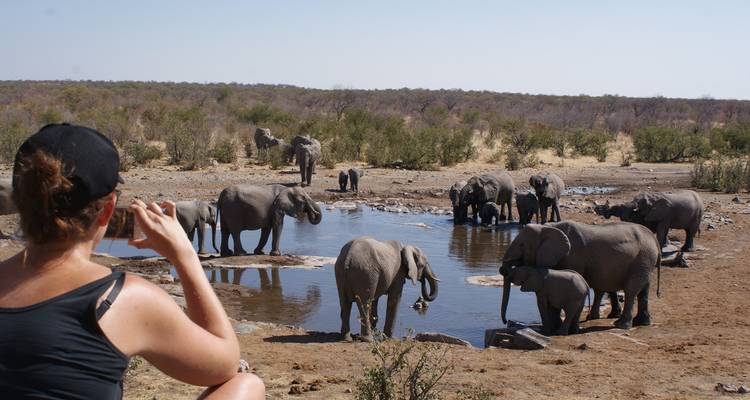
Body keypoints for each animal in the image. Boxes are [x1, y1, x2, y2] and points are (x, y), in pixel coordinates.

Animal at [500, 221, 661, 330]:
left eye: (522, 245)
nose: (506, 321)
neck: (548, 227)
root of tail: (654, 239)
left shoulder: (573, 256)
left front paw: (555, 326)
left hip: (643, 257)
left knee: (631, 289)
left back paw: (620, 325)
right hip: (644, 260)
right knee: (643, 289)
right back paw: (642, 322)